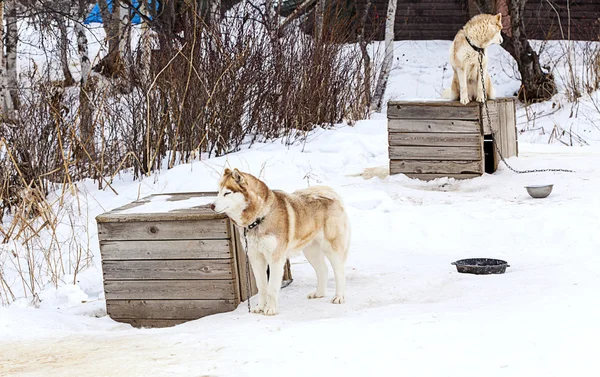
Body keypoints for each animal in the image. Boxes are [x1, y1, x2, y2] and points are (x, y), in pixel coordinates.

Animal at [212, 168, 350, 314]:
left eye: (227, 193)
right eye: (218, 192)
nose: (211, 205)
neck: (259, 219)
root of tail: (331, 195)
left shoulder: (275, 258)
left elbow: (271, 288)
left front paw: (270, 309)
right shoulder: (256, 258)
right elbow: (262, 287)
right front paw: (260, 307)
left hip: (331, 248)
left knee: (339, 272)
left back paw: (339, 297)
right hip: (310, 251)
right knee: (323, 269)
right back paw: (319, 293)